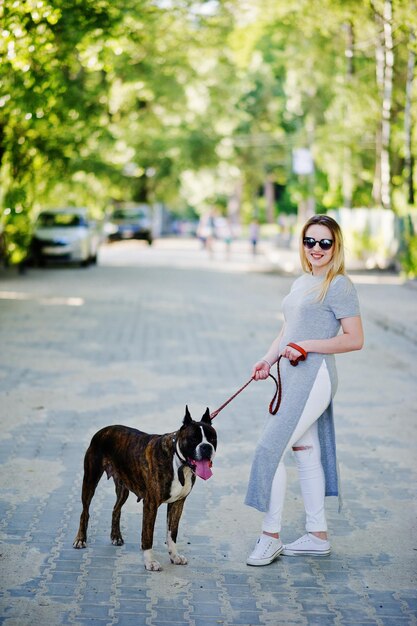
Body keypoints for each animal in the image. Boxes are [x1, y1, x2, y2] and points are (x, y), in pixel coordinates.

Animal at [72, 404, 216, 572]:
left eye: (212, 438)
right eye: (193, 439)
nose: (206, 447)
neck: (179, 462)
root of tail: (103, 430)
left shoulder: (178, 503)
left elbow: (172, 533)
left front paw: (174, 556)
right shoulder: (150, 504)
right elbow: (148, 536)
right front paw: (150, 562)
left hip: (123, 488)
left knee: (116, 510)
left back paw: (116, 536)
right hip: (90, 480)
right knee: (85, 512)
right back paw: (80, 539)